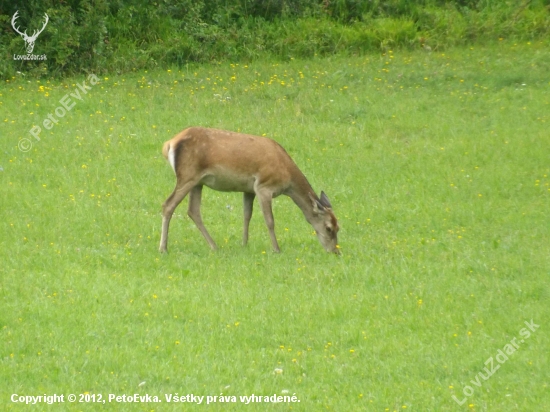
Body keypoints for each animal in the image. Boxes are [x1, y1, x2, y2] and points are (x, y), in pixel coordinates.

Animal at [160, 127, 340, 253]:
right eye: (328, 228)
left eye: (338, 227)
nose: (335, 251)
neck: (287, 176)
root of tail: (169, 143)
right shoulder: (264, 186)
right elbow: (270, 220)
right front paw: (276, 249)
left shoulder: (249, 190)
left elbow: (247, 215)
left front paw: (244, 244)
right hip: (187, 175)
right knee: (168, 205)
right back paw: (163, 248)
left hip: (197, 182)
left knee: (193, 210)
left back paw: (214, 246)